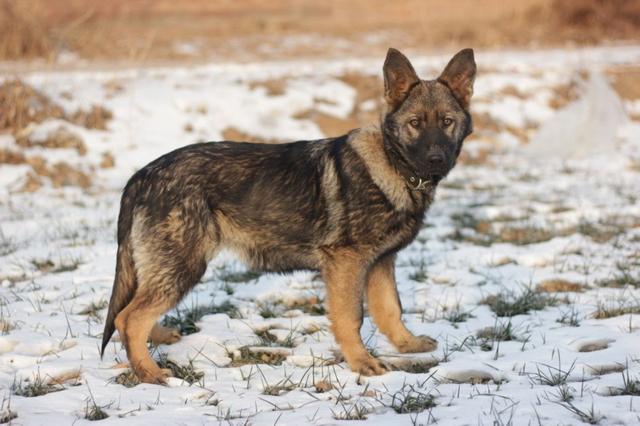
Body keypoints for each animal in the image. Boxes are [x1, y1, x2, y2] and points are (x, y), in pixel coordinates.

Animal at [100, 48, 476, 384]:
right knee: (129, 318)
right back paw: (148, 373)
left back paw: (157, 341)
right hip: (184, 264)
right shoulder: (347, 263)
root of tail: (142, 175)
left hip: (170, 266)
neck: (393, 164)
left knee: (131, 313)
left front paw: (406, 344)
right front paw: (361, 363)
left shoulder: (381, 263)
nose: (436, 159)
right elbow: (351, 317)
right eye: (415, 124)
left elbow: (390, 309)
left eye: (447, 122)